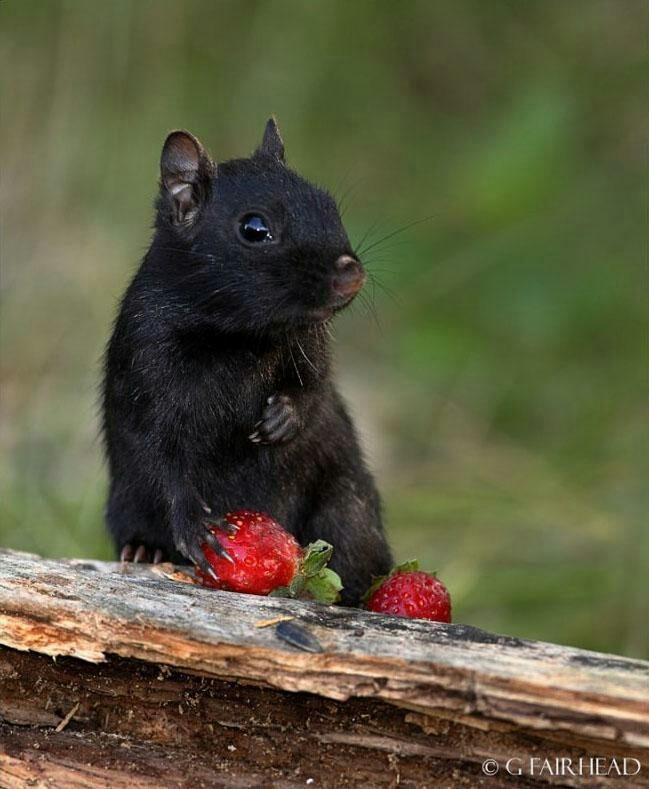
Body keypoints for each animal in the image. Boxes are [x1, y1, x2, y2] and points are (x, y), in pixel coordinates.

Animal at [102, 120, 390, 608]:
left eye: (329, 204)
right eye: (254, 228)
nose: (351, 274)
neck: (240, 338)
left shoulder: (312, 347)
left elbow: (314, 389)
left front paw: (284, 416)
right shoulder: (145, 374)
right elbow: (162, 463)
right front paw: (197, 528)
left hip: (347, 510)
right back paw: (144, 549)